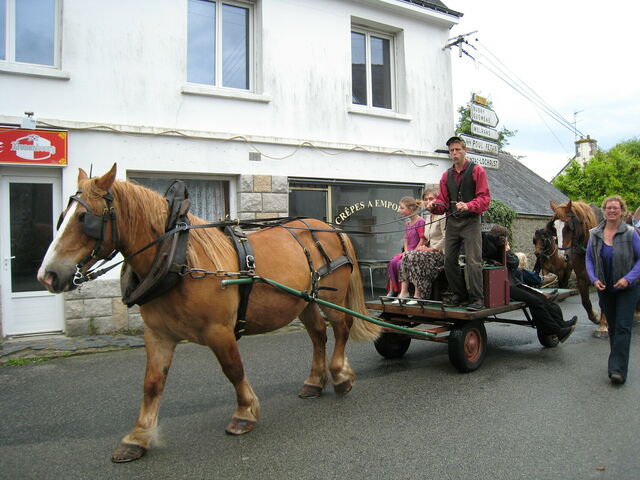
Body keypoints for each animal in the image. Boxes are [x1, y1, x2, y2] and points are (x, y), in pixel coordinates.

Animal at [37, 164, 381, 463]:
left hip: (329, 297)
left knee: (341, 328)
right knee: (318, 335)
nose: (48, 275)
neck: (177, 258)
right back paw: (314, 381)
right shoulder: (158, 335)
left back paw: (340, 376)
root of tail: (331, 228)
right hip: (305, 300)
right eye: (62, 217)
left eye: (85, 218)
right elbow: (152, 383)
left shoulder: (219, 331)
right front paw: (138, 437)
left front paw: (244, 414)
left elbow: (234, 369)